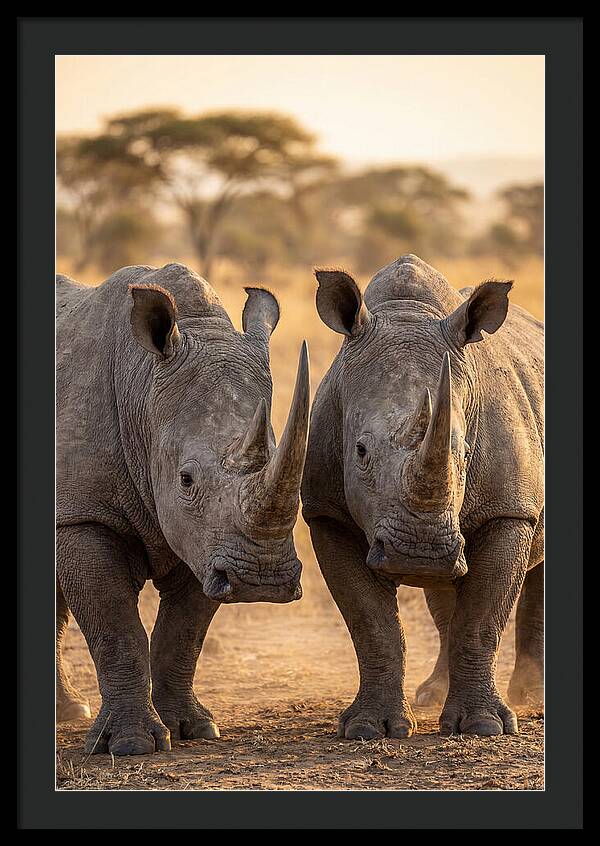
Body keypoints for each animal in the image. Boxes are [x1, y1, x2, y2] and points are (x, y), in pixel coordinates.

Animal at [56, 262, 309, 756]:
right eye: (186, 480)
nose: (262, 580)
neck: (142, 387)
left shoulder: (209, 541)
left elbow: (183, 633)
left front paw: (192, 729)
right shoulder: (82, 514)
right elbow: (115, 627)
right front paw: (130, 745)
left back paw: (68, 711)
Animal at [302, 255, 543, 738]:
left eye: (464, 451)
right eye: (360, 451)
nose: (420, 553)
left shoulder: (510, 511)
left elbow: (482, 619)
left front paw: (485, 727)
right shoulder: (326, 513)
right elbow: (372, 625)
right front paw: (369, 728)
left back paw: (532, 695)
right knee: (445, 593)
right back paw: (433, 694)